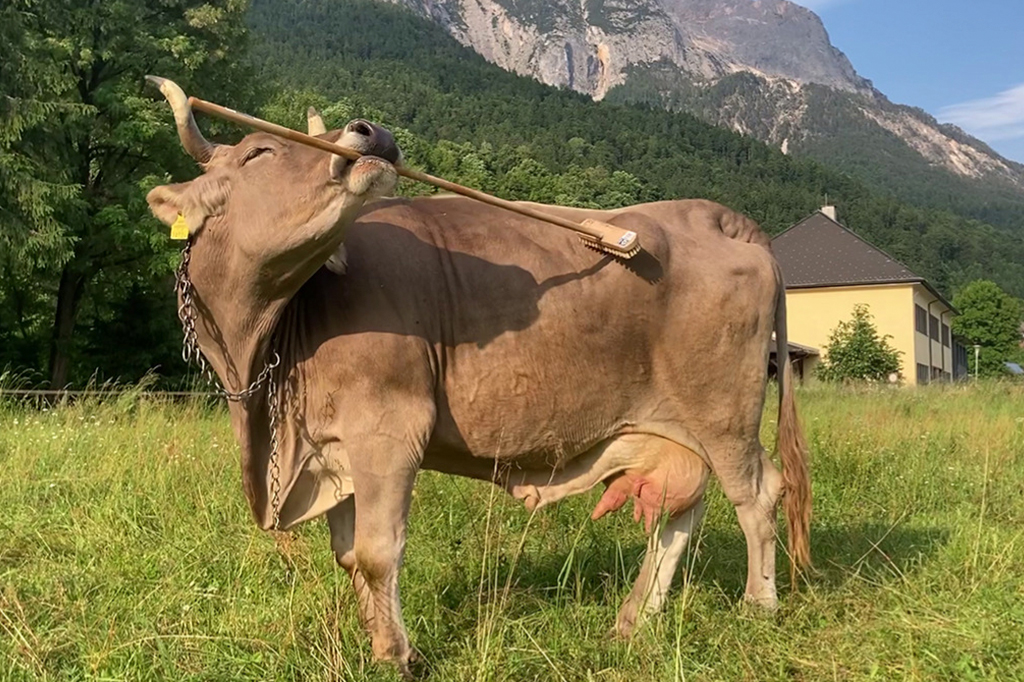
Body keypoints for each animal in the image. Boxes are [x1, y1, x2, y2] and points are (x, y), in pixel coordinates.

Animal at [146, 78, 810, 679]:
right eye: (258, 152)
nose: (371, 132)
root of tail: (714, 215)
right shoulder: (332, 448)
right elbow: (349, 555)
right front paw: (378, 642)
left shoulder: (388, 430)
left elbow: (378, 552)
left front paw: (397, 657)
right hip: (676, 426)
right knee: (684, 508)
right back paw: (634, 619)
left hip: (723, 411)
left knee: (757, 494)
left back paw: (758, 605)